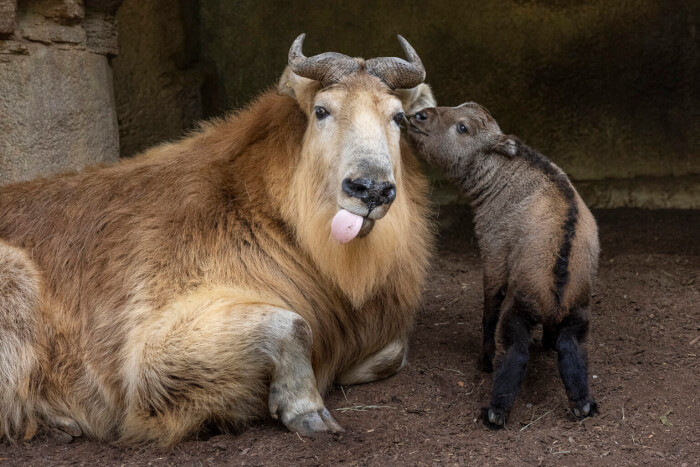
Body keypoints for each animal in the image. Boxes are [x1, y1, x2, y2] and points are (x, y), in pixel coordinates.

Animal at [408, 103, 600, 432]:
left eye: (462, 127)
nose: (419, 115)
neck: (503, 173)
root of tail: (559, 276)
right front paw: (547, 345)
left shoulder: (494, 254)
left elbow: (489, 310)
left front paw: (484, 361)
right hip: (578, 314)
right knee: (570, 348)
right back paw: (581, 403)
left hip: (519, 312)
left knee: (516, 352)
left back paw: (496, 411)